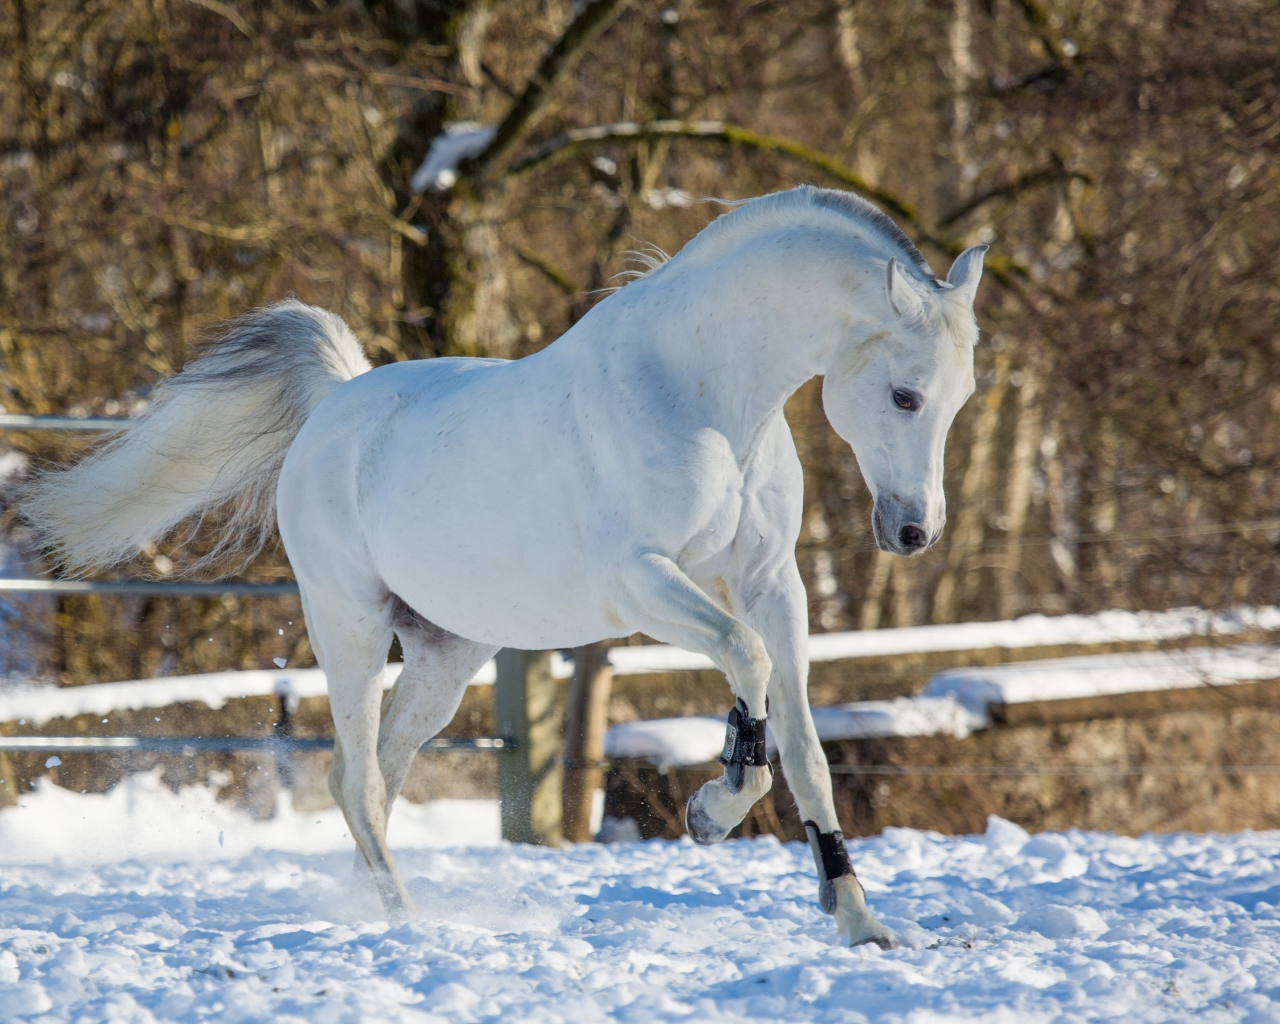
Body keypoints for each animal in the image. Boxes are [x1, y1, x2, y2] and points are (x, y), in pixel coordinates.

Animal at [20, 184, 983, 942]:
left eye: (961, 396)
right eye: (904, 394)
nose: (914, 532)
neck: (702, 397)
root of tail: (335, 403)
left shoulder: (770, 586)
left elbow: (807, 747)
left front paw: (858, 921)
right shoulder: (640, 583)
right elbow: (744, 667)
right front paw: (709, 814)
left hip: (445, 658)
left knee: (373, 776)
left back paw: (387, 907)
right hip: (350, 629)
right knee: (358, 777)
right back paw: (407, 922)